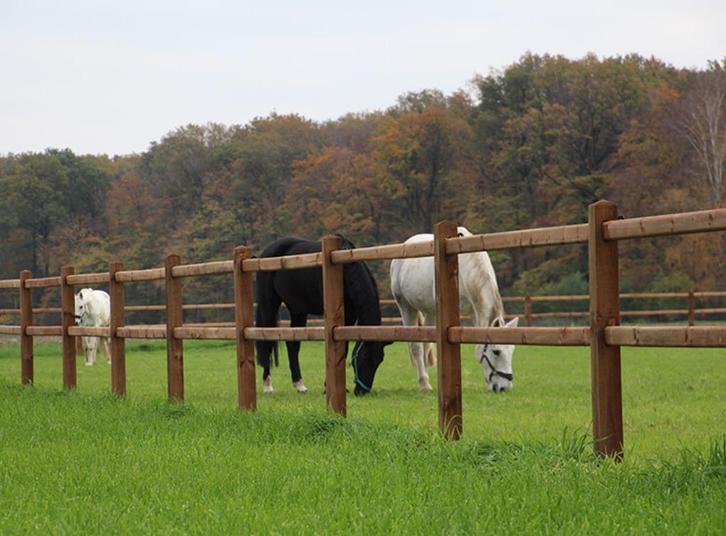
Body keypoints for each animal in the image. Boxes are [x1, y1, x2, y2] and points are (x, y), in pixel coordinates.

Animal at [255, 236, 390, 396]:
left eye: (379, 360)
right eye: (364, 356)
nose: (361, 391)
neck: (343, 271)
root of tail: (265, 253)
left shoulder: (350, 316)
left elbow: (343, 348)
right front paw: (329, 388)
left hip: (297, 309)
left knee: (292, 344)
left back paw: (300, 385)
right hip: (269, 306)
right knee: (266, 341)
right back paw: (268, 386)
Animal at [390, 227, 519, 393]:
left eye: (512, 350)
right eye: (496, 351)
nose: (504, 387)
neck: (464, 268)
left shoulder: (473, 311)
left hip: (430, 312)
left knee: (426, 345)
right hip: (406, 306)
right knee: (416, 347)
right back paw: (424, 383)